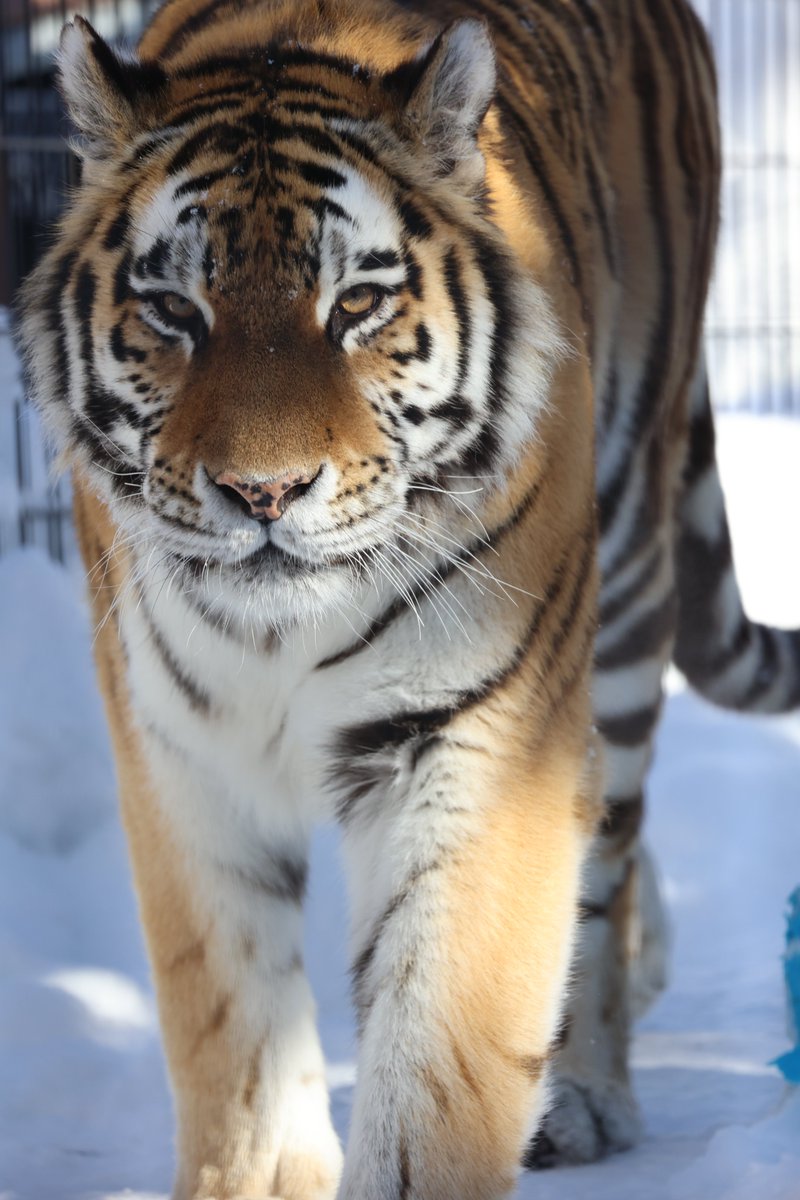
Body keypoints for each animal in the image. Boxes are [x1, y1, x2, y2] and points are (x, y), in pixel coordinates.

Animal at [14, 0, 800, 1195]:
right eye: (173, 311)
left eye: (358, 305)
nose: (263, 492)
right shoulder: (181, 752)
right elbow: (232, 1040)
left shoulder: (478, 734)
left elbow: (442, 1062)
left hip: (624, 582)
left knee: (607, 851)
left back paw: (584, 1090)